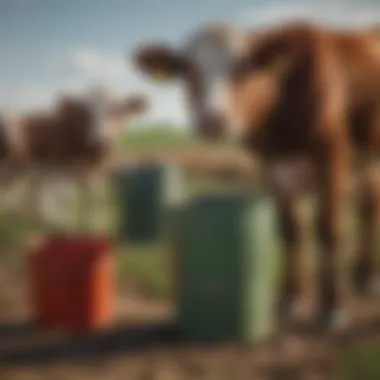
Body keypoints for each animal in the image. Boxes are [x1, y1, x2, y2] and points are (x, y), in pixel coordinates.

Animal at [0, 86, 148, 229]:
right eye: (86, 112)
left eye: (116, 109)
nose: (99, 139)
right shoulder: (59, 169)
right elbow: (64, 198)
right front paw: (63, 225)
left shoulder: (95, 174)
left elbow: (94, 198)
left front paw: (92, 226)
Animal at [134, 20, 380, 330]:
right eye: (188, 70)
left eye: (244, 66)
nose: (212, 119)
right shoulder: (273, 167)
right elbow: (290, 230)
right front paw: (291, 298)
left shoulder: (333, 160)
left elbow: (329, 231)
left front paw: (332, 309)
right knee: (367, 206)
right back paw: (362, 274)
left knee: (370, 206)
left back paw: (369, 277)